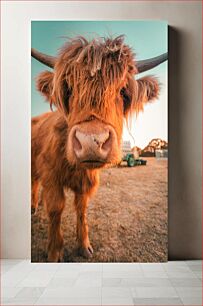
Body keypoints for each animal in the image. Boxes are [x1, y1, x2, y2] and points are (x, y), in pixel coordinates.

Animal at [31, 35, 167, 260]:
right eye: (68, 89)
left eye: (123, 91)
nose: (91, 142)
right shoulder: (51, 174)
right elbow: (56, 209)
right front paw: (55, 252)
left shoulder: (86, 182)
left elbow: (82, 208)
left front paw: (84, 245)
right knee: (34, 182)